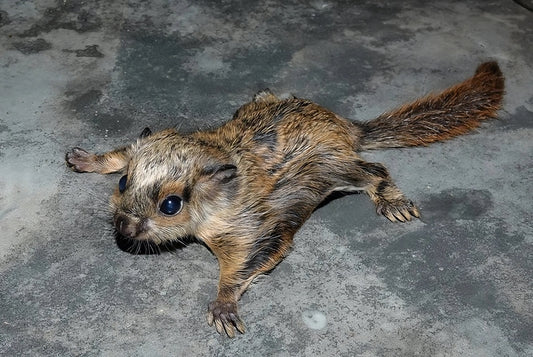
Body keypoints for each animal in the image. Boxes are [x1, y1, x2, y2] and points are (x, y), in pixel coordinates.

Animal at [65, 61, 502, 336]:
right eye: (123, 183)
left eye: (171, 205)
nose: (123, 225)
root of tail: (344, 125)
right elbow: (123, 150)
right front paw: (87, 158)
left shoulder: (252, 225)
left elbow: (247, 262)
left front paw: (224, 305)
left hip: (331, 169)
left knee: (374, 170)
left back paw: (391, 200)